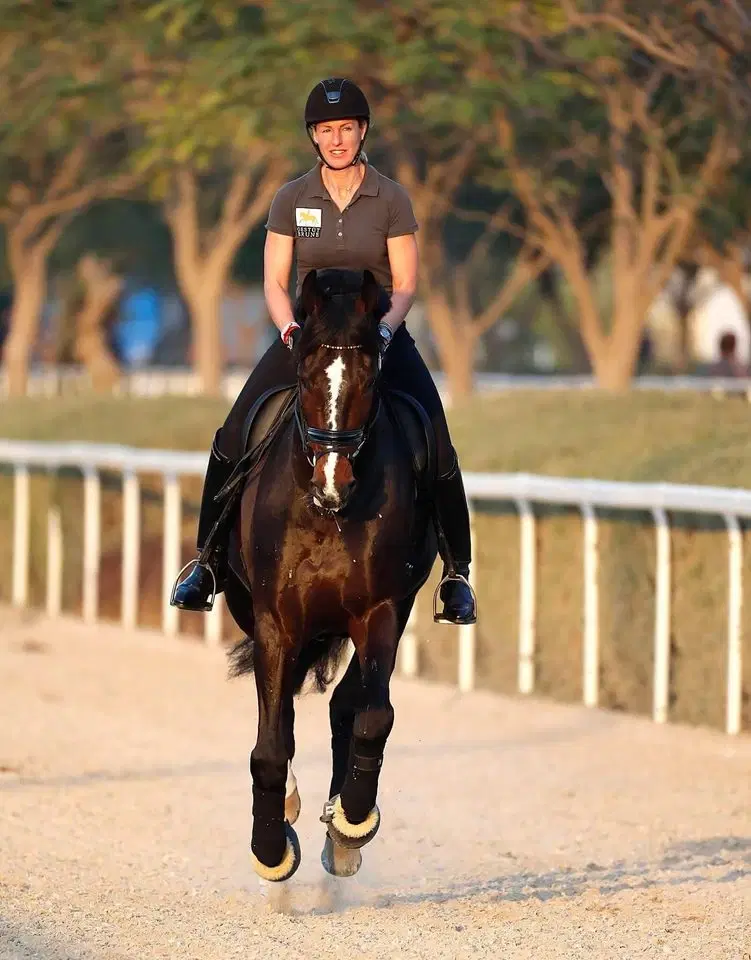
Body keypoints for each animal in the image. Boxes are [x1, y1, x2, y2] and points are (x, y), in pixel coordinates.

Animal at [220, 266, 438, 880]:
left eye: (369, 379)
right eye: (309, 378)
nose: (332, 482)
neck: (328, 516)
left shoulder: (380, 610)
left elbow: (372, 717)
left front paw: (351, 821)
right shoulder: (275, 620)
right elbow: (271, 742)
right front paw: (271, 849)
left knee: (347, 704)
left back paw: (341, 832)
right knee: (286, 710)